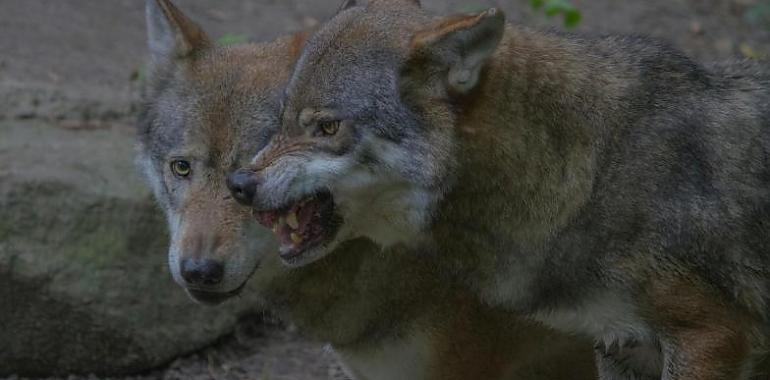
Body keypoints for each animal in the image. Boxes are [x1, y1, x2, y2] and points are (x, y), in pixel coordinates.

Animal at [231, 1, 768, 378]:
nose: (239, 184)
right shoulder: (621, 345)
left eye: (326, 127)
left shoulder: (709, 336)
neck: (591, 173)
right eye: (282, 119)